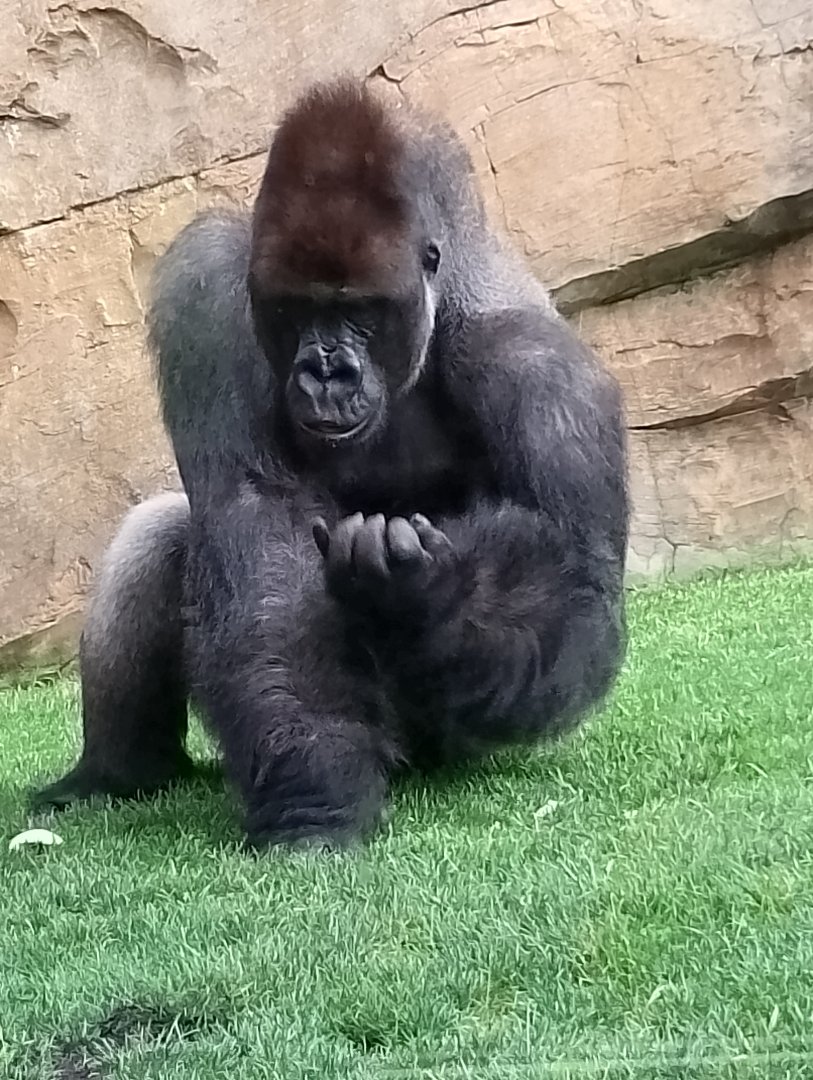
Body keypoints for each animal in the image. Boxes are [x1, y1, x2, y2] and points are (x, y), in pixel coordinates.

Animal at [35, 79, 629, 849]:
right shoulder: (207, 293)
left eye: (364, 312)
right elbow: (262, 533)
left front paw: (426, 598)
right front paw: (313, 789)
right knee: (160, 533)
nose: (326, 373)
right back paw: (115, 774)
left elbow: (577, 593)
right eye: (295, 310)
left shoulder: (542, 372)